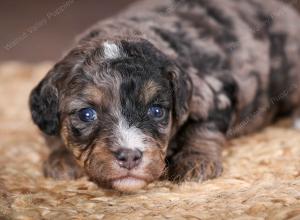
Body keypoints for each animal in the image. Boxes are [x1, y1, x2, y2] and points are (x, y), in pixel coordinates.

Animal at [29, 0, 300, 192]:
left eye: (157, 111)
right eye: (87, 114)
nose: (129, 156)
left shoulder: (216, 93)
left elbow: (205, 129)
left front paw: (196, 162)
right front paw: (61, 158)